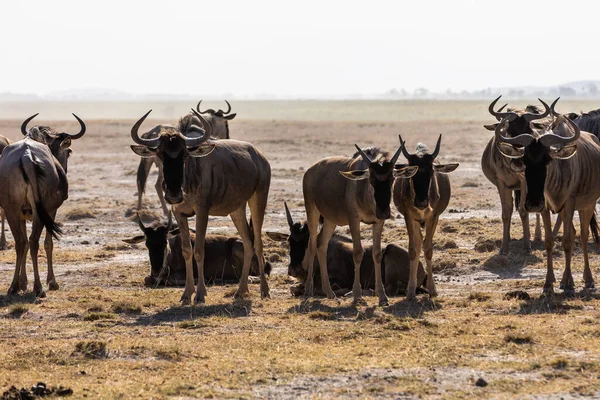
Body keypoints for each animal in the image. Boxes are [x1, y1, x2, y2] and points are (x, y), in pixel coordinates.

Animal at [124, 219, 272, 288]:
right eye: (147, 244)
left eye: (164, 243)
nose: (156, 270)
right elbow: (147, 279)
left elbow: (169, 280)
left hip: (237, 247)